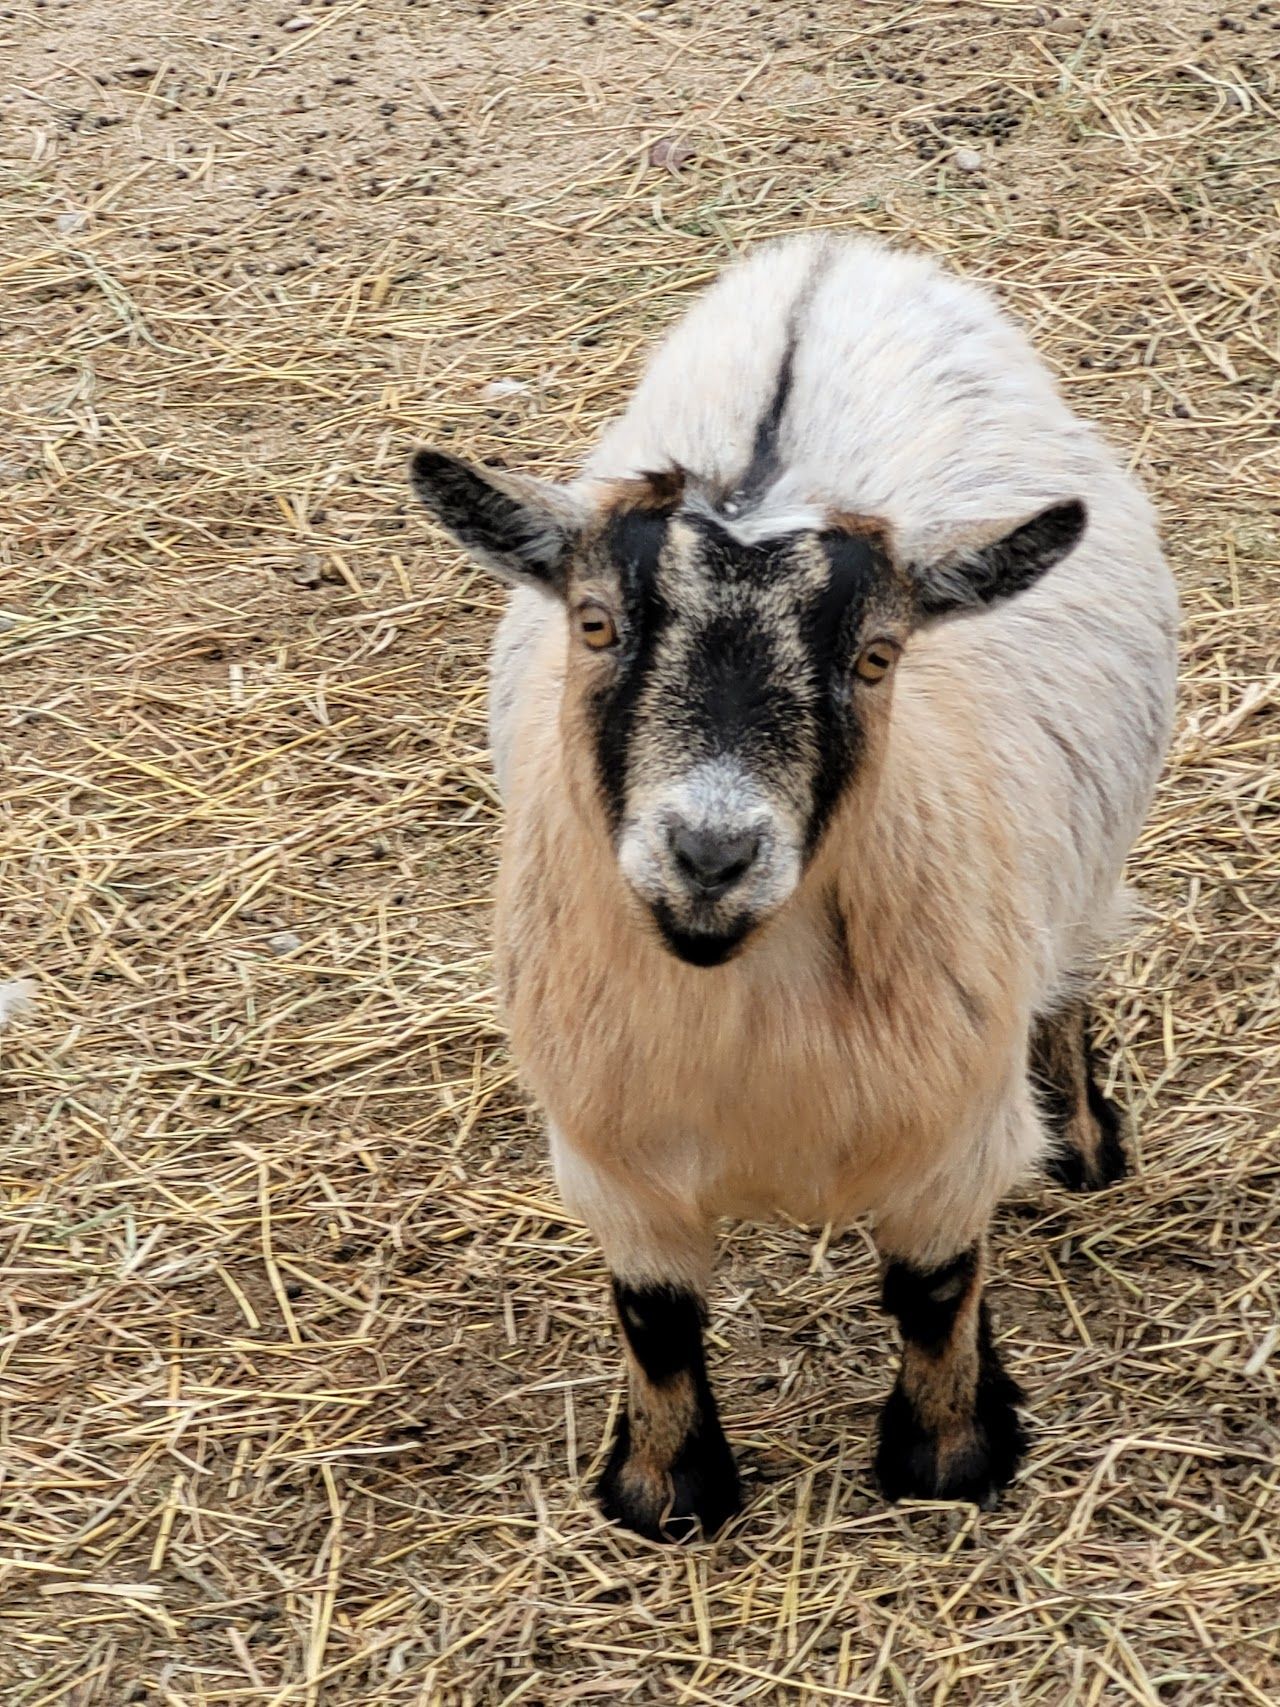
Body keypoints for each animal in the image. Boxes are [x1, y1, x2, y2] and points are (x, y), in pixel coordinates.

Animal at [411, 234, 1178, 1542]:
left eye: (875, 656)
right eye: (596, 625)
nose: (710, 855)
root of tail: (839, 255)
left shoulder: (949, 1129)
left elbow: (932, 1293)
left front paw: (946, 1459)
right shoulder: (610, 1154)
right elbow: (655, 1319)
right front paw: (665, 1491)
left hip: (1083, 870)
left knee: (1068, 978)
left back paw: (1079, 1145)